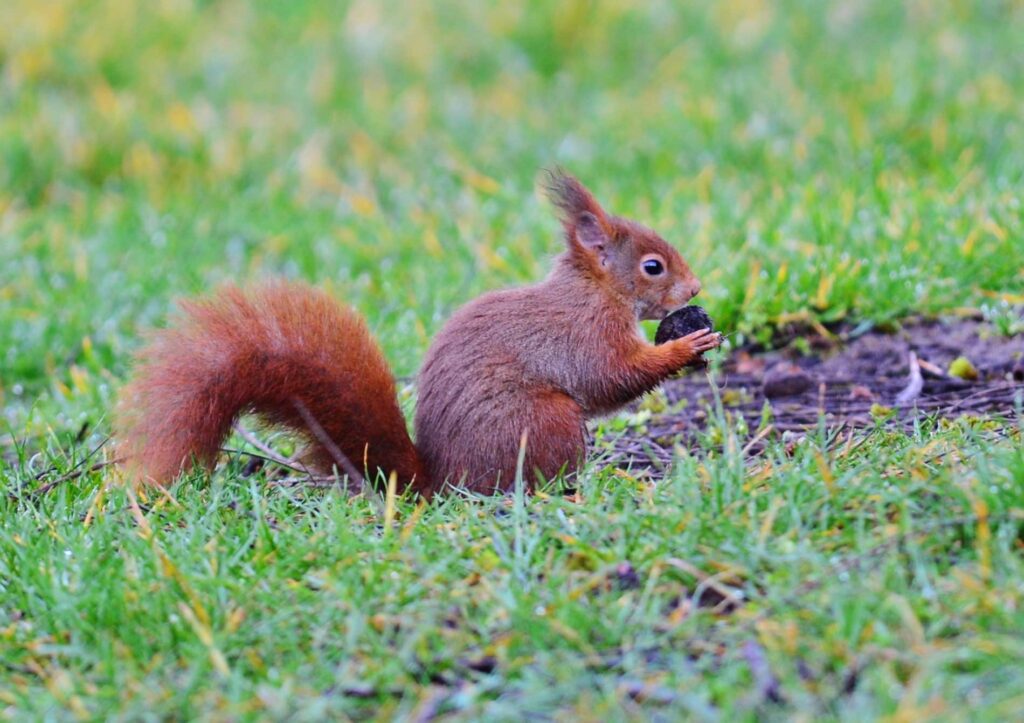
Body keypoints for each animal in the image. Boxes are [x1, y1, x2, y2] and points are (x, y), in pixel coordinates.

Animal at [115, 171, 720, 496]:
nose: (695, 289)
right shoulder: (585, 333)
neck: (596, 289)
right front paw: (686, 345)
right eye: (652, 267)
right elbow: (609, 378)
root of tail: (438, 479)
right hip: (547, 423)